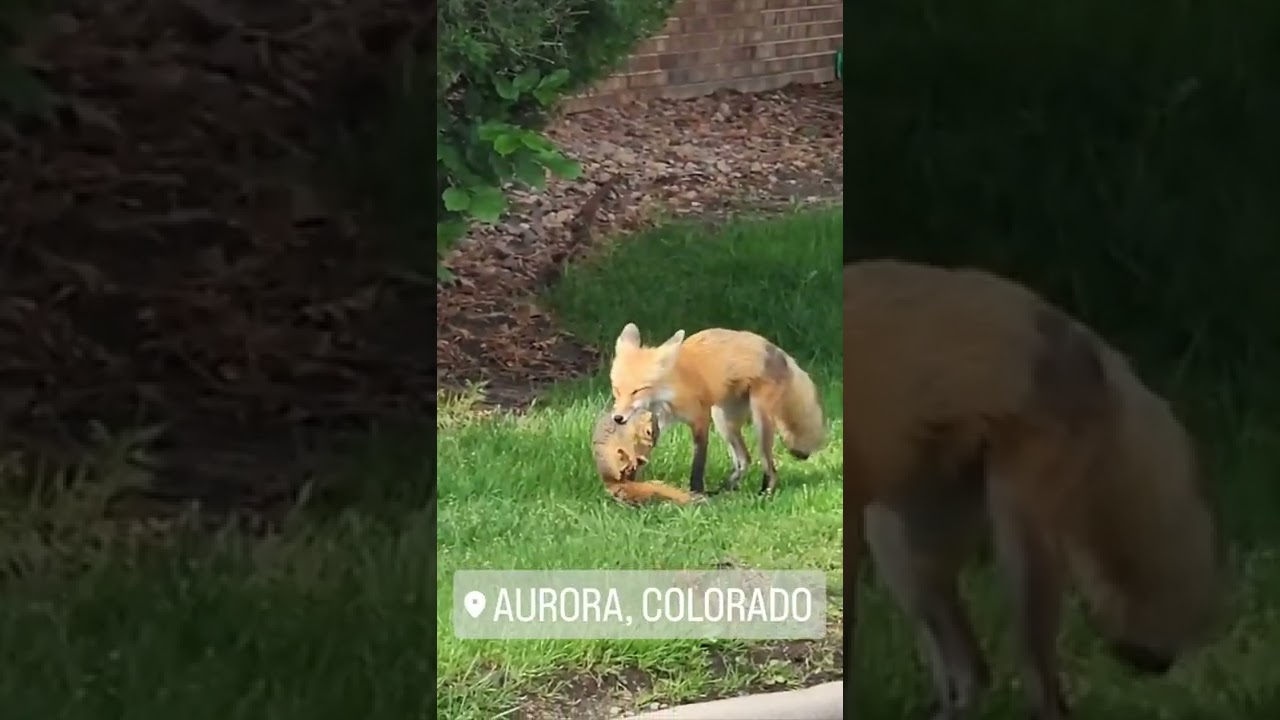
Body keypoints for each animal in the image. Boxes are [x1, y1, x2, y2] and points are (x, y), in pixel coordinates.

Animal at [609, 323, 827, 496]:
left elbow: (698, 462)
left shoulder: (701, 418)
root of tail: (777, 350)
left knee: (770, 467)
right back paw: (726, 491)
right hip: (724, 421)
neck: (671, 389)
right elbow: (641, 455)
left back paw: (764, 493)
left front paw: (696, 492)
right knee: (744, 459)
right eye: (617, 390)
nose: (617, 418)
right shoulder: (657, 423)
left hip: (758, 420)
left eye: (637, 391)